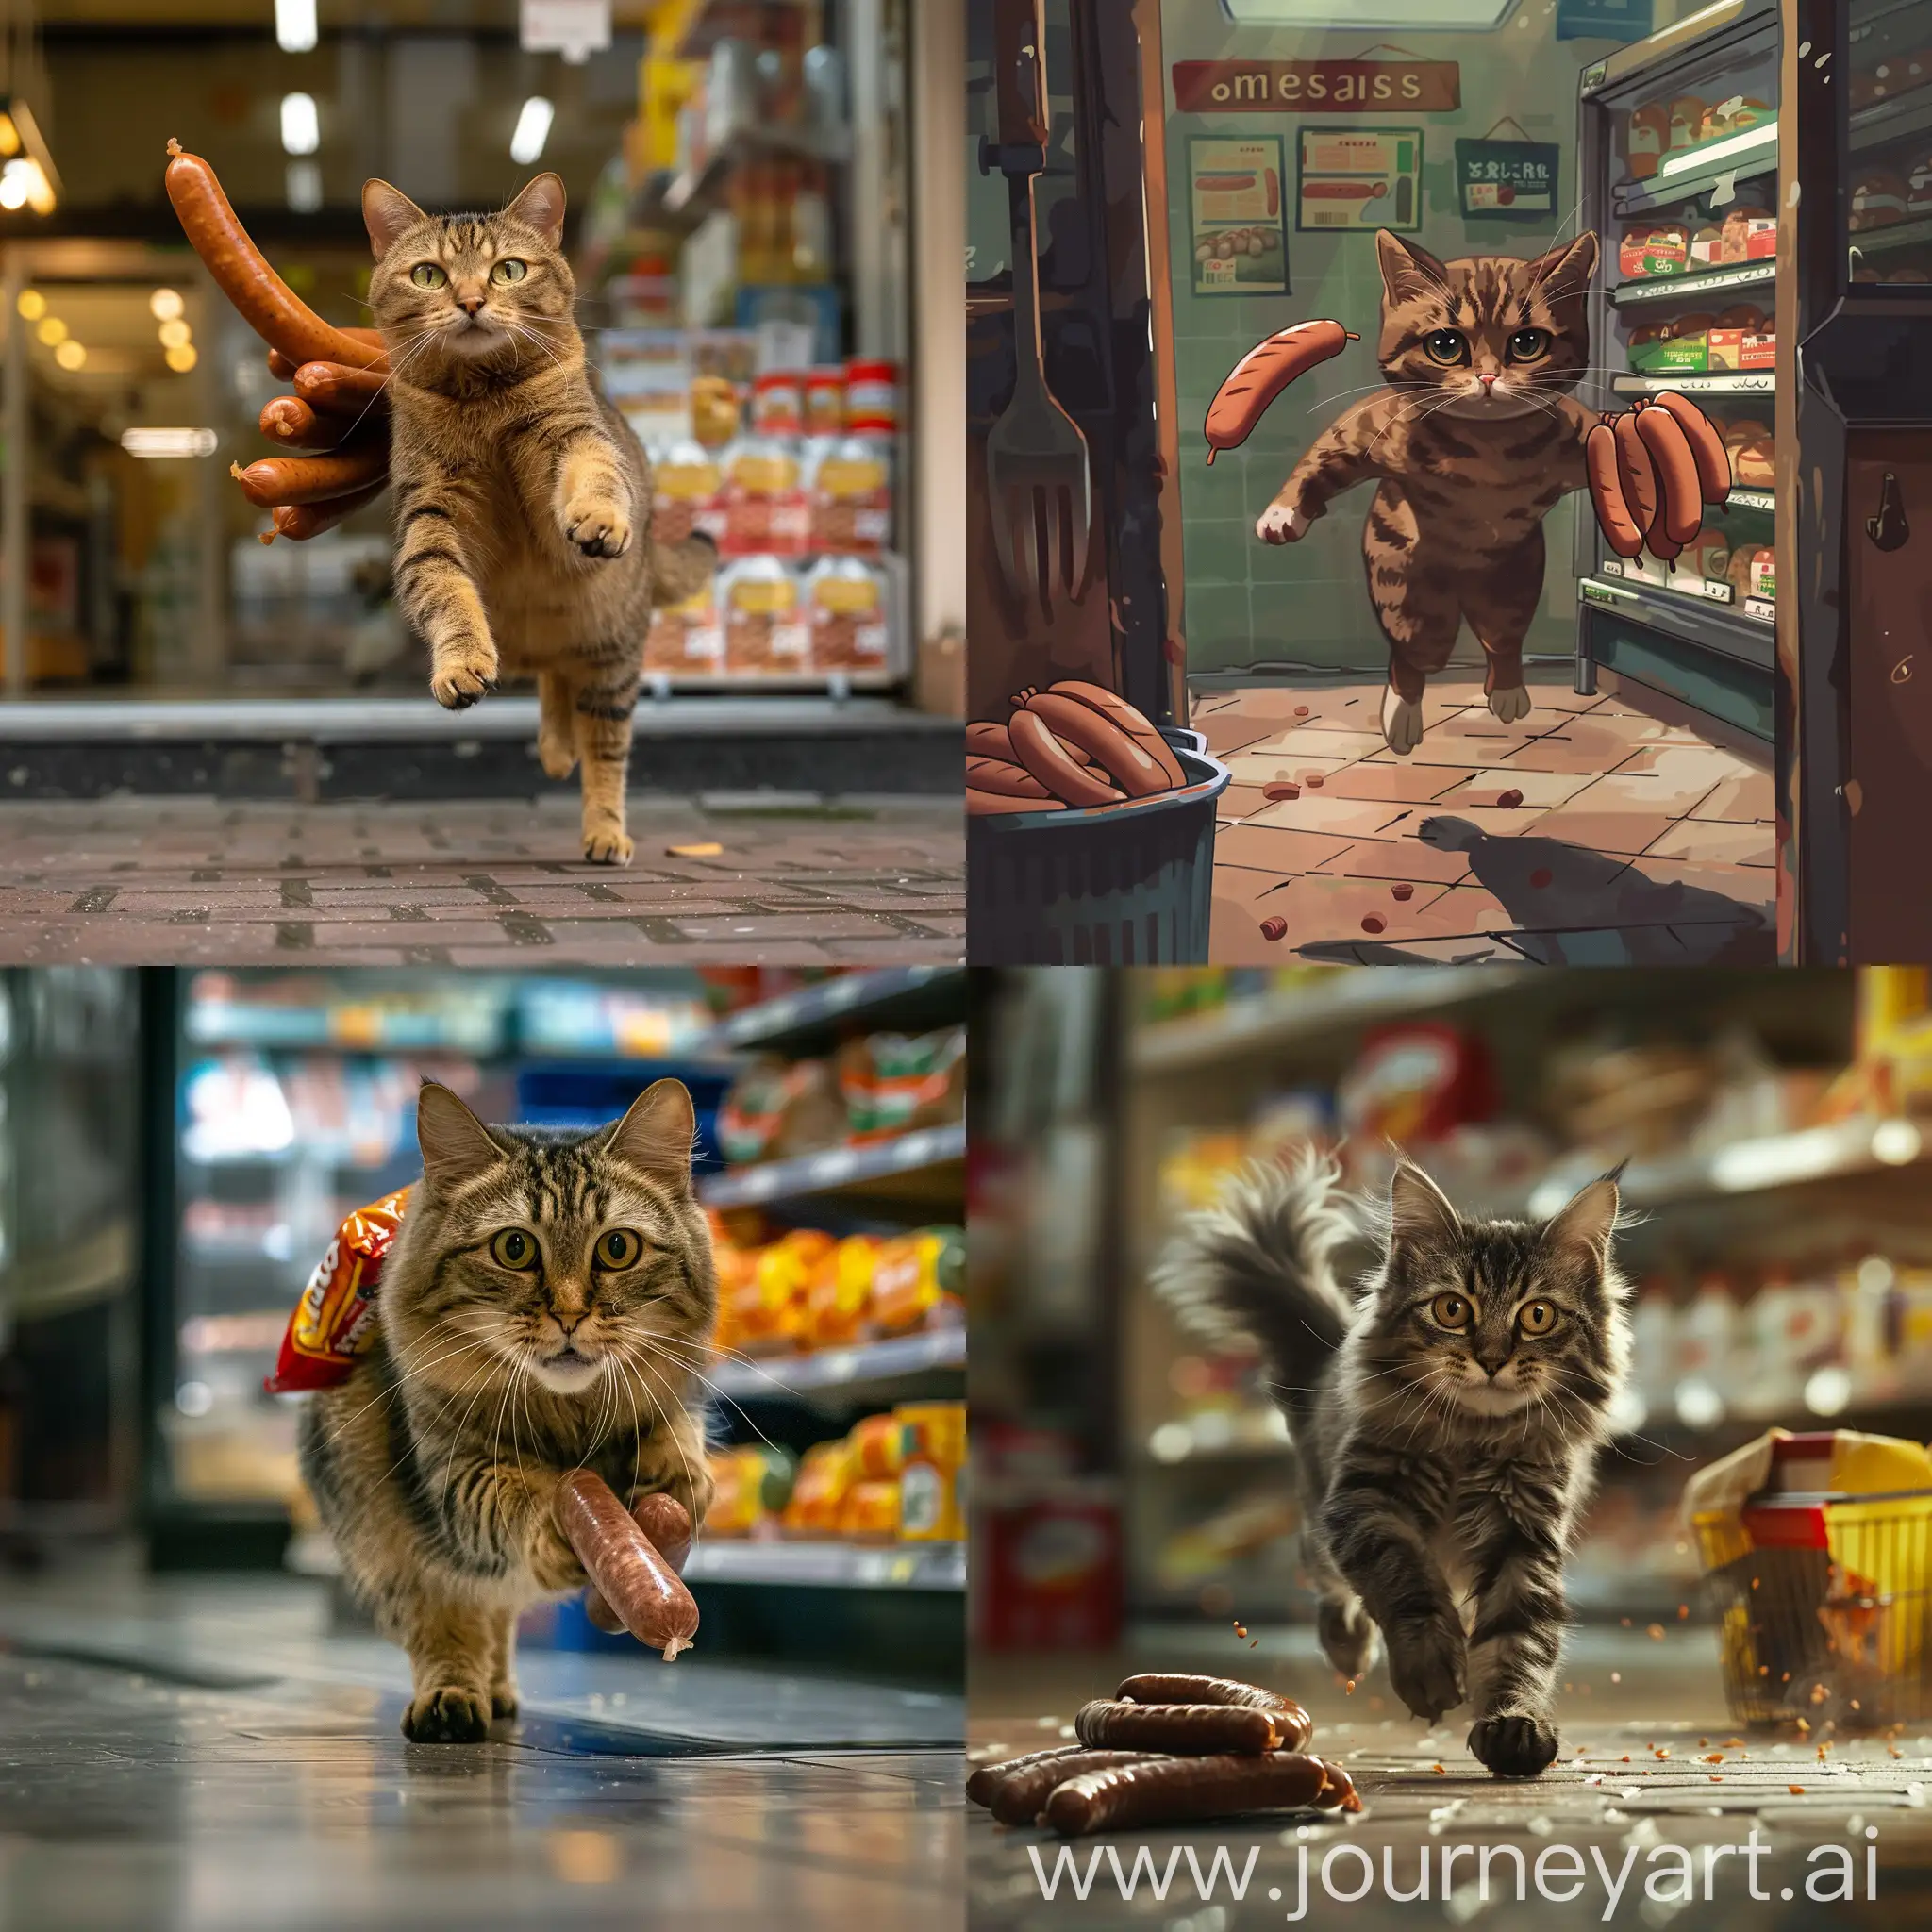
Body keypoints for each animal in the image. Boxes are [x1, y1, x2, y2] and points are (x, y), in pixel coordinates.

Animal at [301, 1081, 718, 1746]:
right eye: (515, 1248)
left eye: (617, 1248)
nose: (570, 1315)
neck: (568, 1413)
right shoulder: (457, 1468)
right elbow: (522, 1501)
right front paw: (557, 1528)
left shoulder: (676, 1393)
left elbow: (680, 1437)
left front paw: (677, 1484)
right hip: (386, 1536)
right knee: (450, 1625)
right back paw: (452, 1700)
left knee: (496, 1623)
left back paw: (497, 1691)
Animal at [358, 174, 714, 869]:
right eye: (429, 275)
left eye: (509, 270)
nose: (471, 301)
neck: (483, 400)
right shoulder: (429, 511)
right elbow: (445, 590)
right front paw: (460, 665)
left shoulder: (572, 436)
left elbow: (595, 475)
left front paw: (599, 518)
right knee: (554, 679)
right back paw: (554, 749)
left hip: (612, 659)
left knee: (602, 745)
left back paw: (605, 829)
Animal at [1151, 1151, 1623, 1769]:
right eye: (1453, 1309)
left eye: (1537, 1316)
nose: (1492, 1359)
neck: (1471, 1439)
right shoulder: (1366, 1503)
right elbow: (1405, 1581)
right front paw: (1430, 1673)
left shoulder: (1524, 1528)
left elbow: (1519, 1635)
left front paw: (1513, 1723)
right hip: (1321, 1516)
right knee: (1321, 1568)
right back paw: (1348, 1647)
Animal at [1252, 229, 1599, 757]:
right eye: (1446, 345)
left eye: (1527, 343)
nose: (1488, 377)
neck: (1487, 447)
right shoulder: (1367, 425)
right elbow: (1320, 458)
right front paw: (1282, 514)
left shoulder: (1577, 431)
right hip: (1408, 588)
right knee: (1415, 655)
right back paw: (1402, 713)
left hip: (1512, 583)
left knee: (1504, 641)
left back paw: (1507, 691)